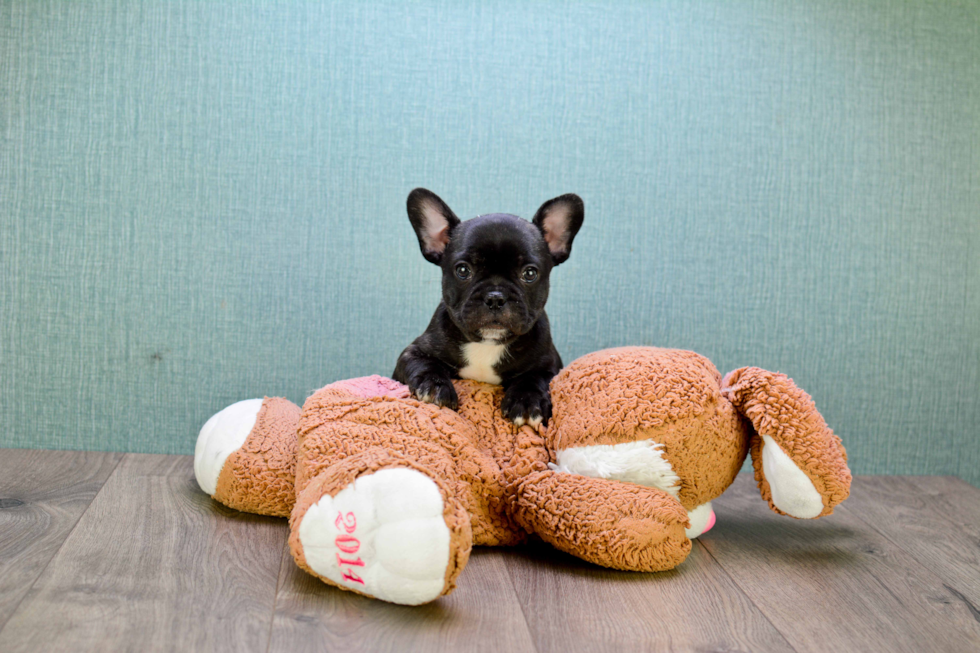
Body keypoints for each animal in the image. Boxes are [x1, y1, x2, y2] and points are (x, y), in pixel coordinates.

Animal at [394, 187, 584, 428]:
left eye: (530, 273)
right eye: (463, 270)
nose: (495, 297)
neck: (487, 344)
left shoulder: (551, 364)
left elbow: (535, 377)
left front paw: (527, 401)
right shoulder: (413, 352)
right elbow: (424, 364)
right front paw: (435, 386)